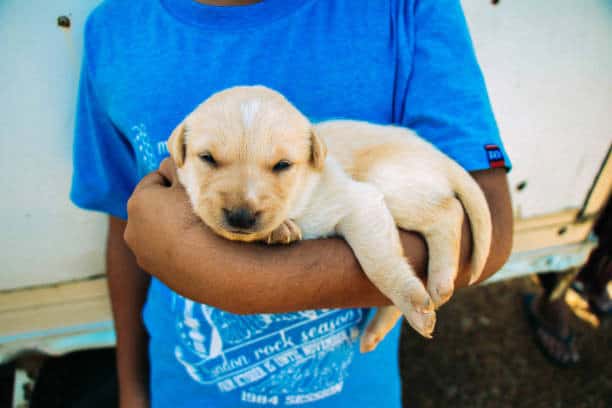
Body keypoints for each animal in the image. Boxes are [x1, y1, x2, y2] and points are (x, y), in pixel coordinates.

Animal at [167, 87, 492, 354]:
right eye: (207, 158)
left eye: (282, 165)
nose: (241, 217)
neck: (304, 189)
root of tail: (439, 156)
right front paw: (281, 229)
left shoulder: (358, 202)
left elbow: (380, 263)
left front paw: (413, 303)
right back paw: (375, 331)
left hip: (391, 183)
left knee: (448, 210)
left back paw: (439, 283)